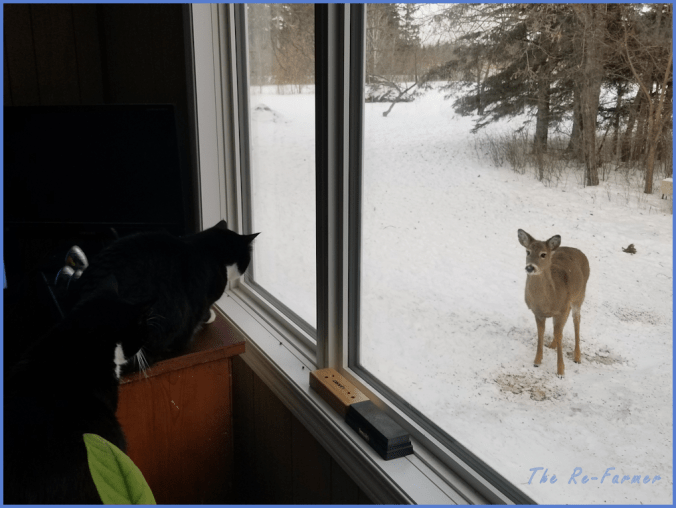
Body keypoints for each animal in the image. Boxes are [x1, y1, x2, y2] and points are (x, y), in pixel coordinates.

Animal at [517, 230, 590, 378]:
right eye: (528, 251)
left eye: (543, 254)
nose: (530, 267)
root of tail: (579, 251)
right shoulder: (538, 313)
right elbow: (541, 333)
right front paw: (537, 361)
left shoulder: (562, 310)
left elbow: (560, 335)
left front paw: (561, 371)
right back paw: (552, 345)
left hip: (579, 296)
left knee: (576, 320)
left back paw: (577, 357)